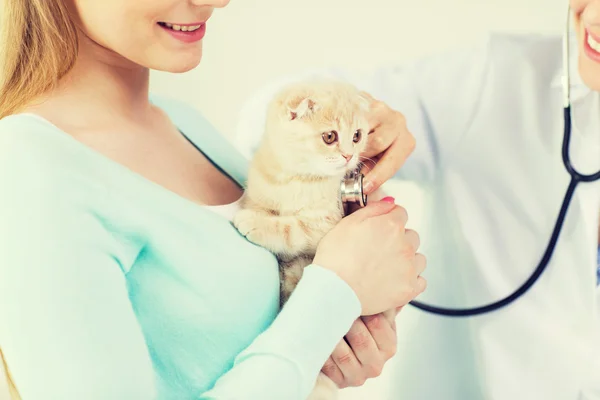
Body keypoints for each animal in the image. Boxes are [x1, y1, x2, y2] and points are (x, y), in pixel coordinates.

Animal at [233, 79, 370, 400]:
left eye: (357, 136)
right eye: (330, 137)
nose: (349, 156)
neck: (295, 180)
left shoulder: (324, 224)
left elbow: (291, 229)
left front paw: (253, 223)